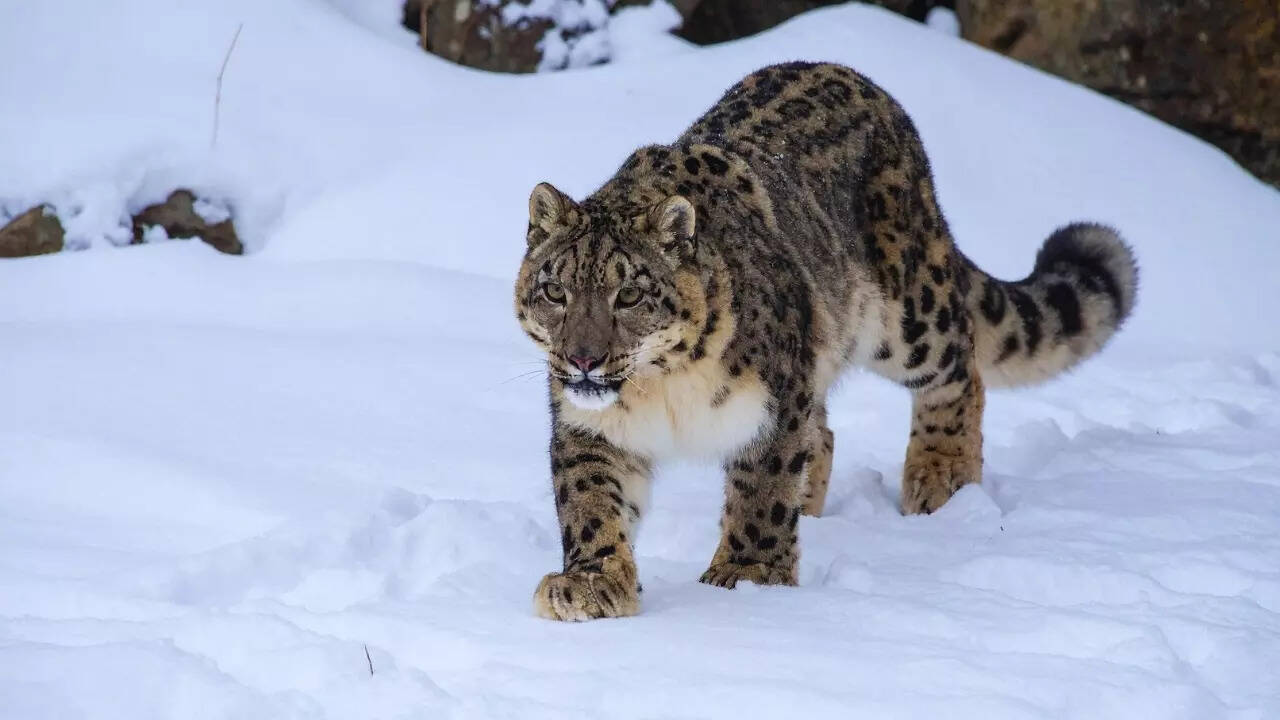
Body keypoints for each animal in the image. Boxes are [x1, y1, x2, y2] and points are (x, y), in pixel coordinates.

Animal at [513, 61, 1138, 621]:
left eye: (629, 294)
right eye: (556, 290)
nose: (583, 359)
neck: (661, 389)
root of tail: (866, 84)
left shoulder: (775, 404)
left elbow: (761, 491)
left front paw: (746, 577)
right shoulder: (589, 425)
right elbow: (591, 500)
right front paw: (590, 585)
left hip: (909, 316)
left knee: (960, 372)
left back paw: (940, 482)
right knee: (827, 433)